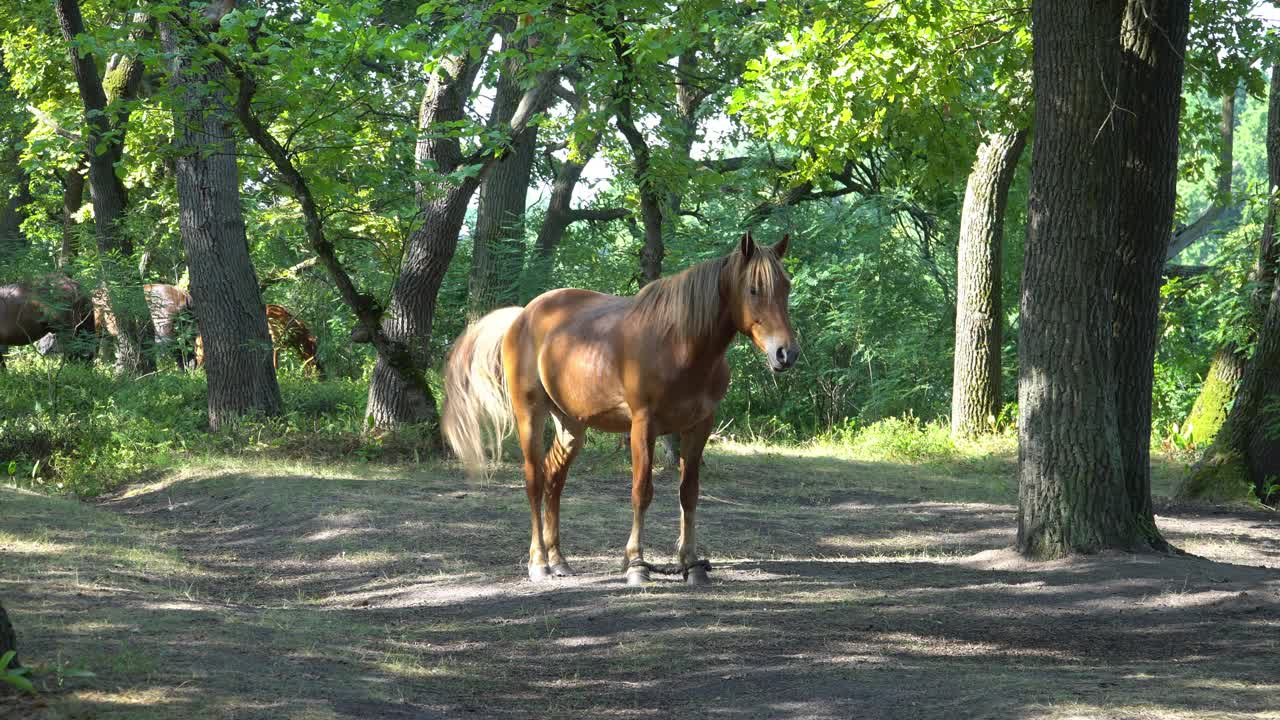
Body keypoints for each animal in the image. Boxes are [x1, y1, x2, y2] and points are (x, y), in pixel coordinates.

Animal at [194, 301, 327, 379]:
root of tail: (198, 337)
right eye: (315, 351)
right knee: (199, 367)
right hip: (201, 354)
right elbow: (275, 362)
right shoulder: (275, 342)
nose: (323, 375)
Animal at [445, 229, 793, 584]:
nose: (785, 353)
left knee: (554, 478)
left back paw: (559, 560)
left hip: (571, 425)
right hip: (530, 414)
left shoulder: (699, 426)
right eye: (753, 289)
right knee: (534, 481)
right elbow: (641, 491)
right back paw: (539, 562)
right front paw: (636, 563)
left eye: (786, 287)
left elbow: (689, 493)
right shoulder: (643, 426)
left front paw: (692, 563)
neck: (680, 343)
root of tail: (522, 316)